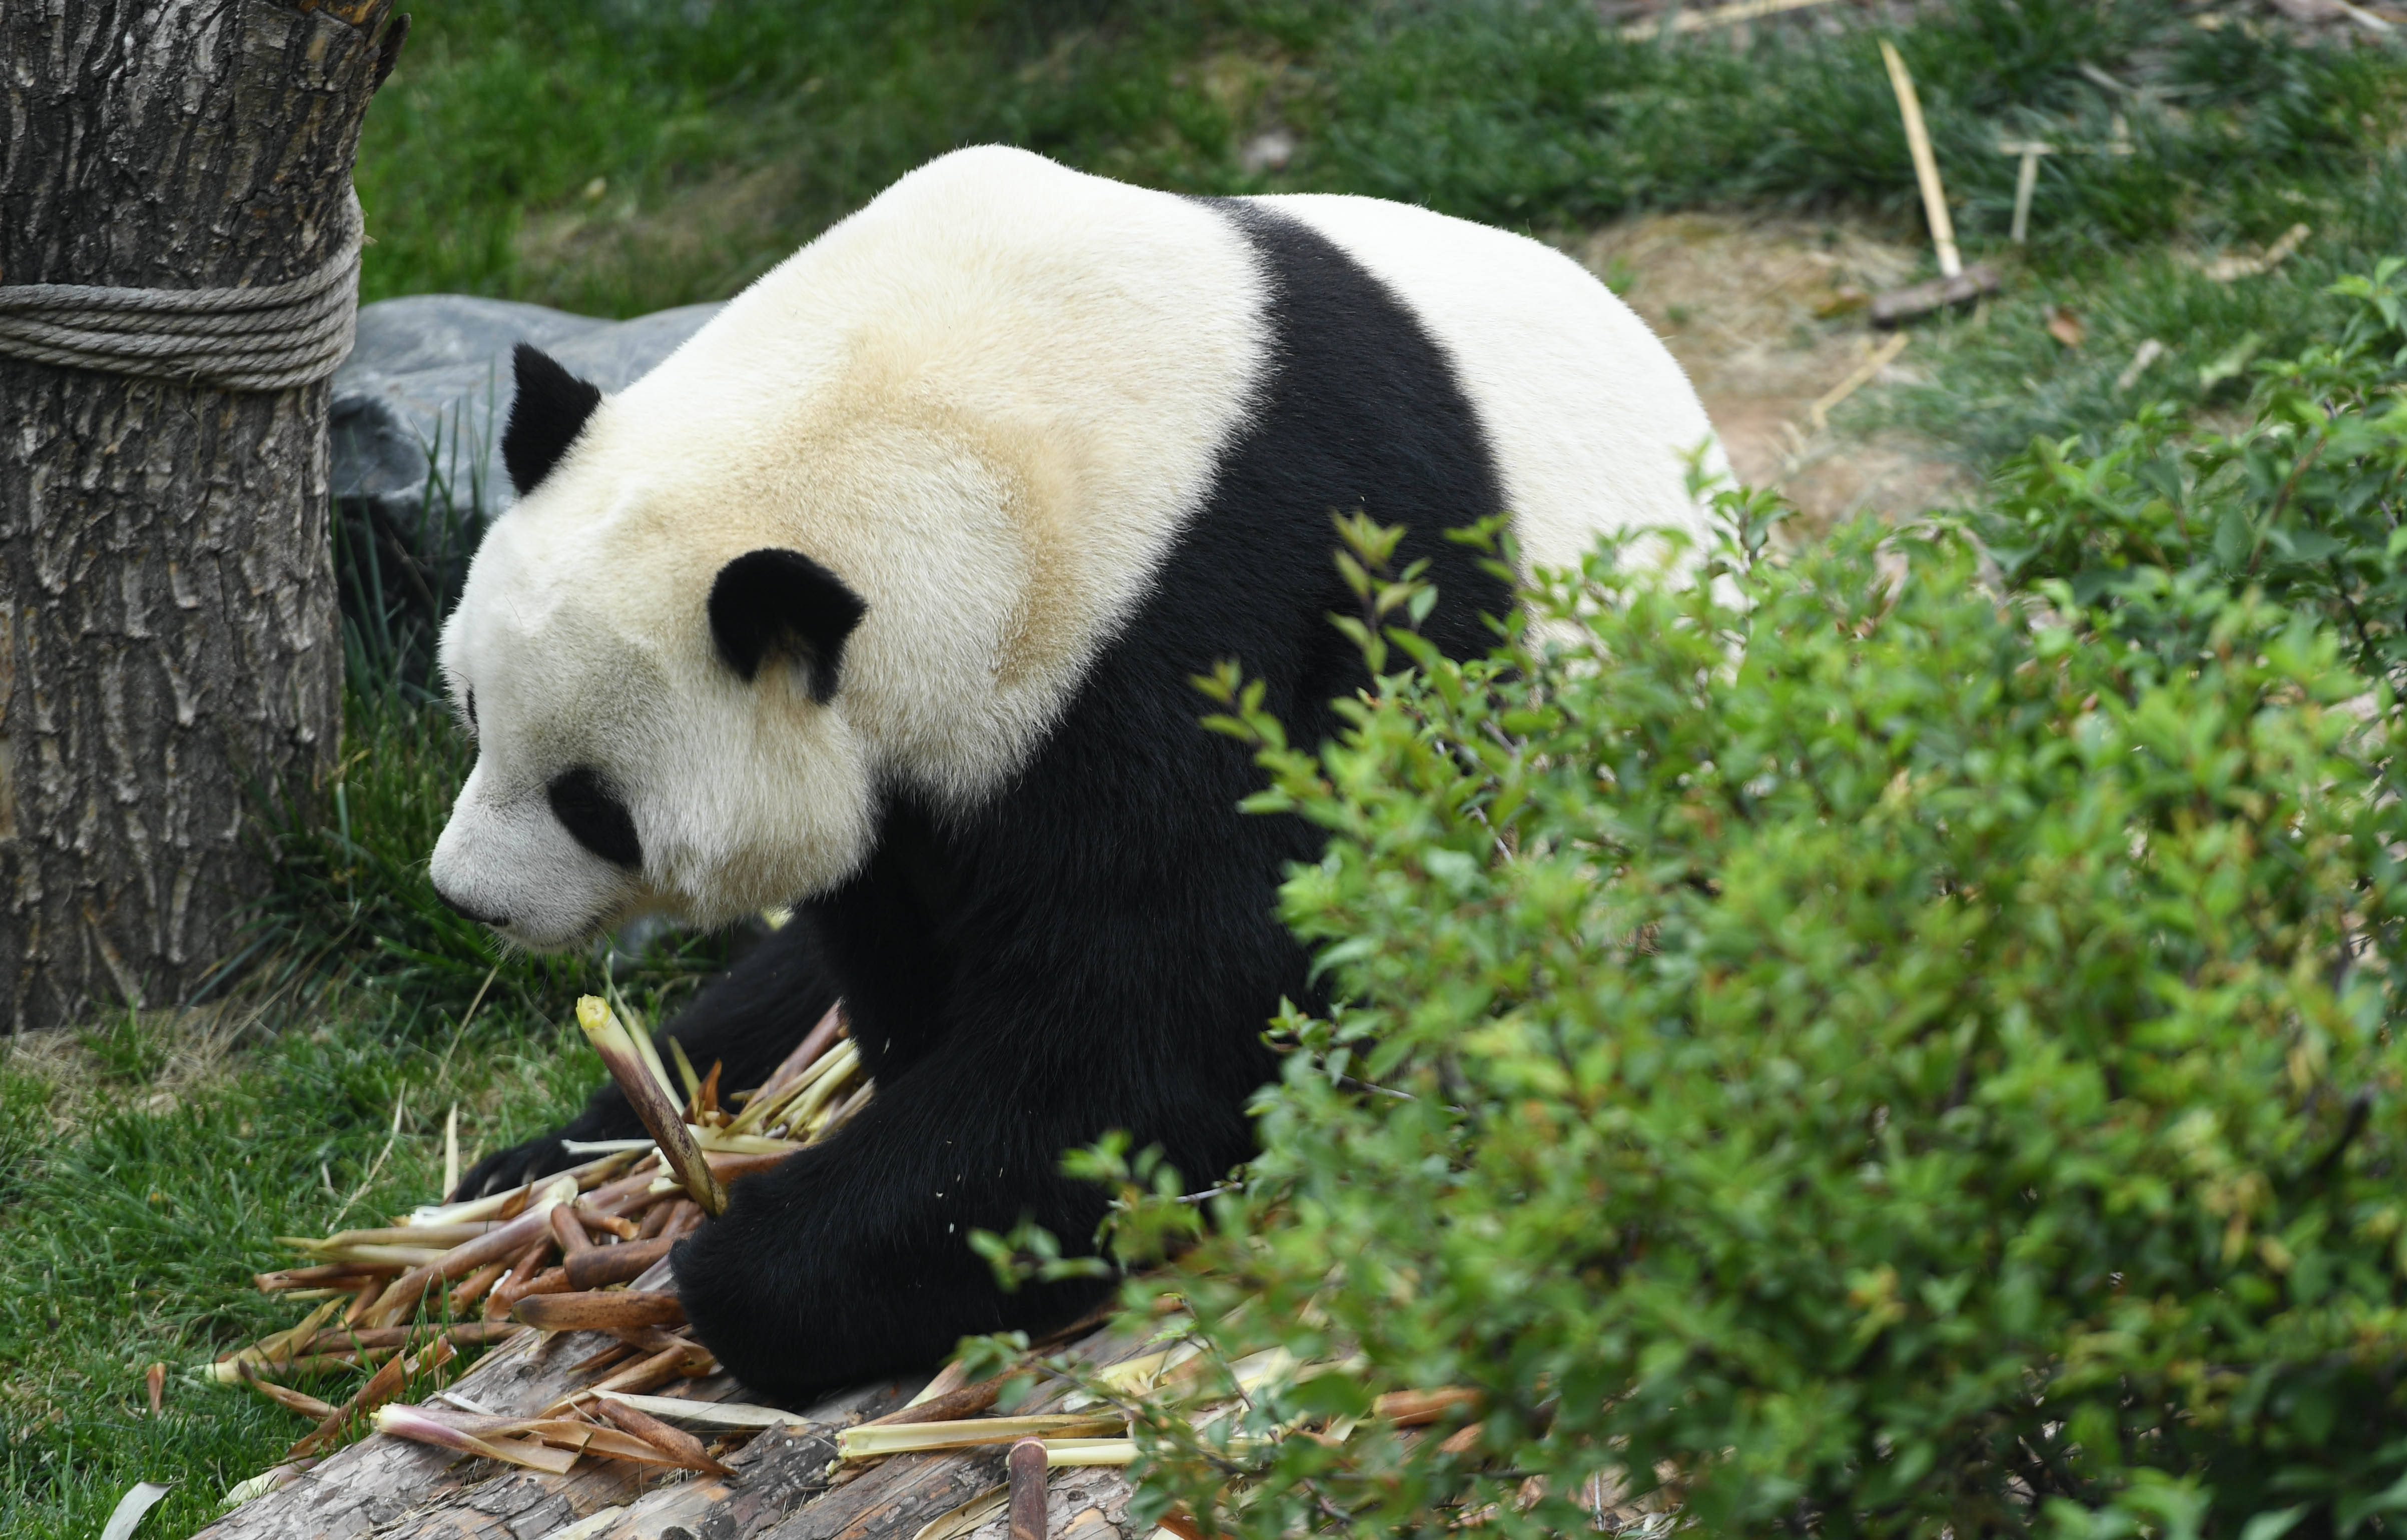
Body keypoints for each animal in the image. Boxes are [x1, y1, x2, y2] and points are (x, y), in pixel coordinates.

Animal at [433, 144, 1713, 1395]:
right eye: (474, 706)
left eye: (595, 804)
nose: (467, 898)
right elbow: (900, 953)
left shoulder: (1244, 611)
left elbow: (1165, 1032)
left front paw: (741, 1265)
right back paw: (523, 1169)